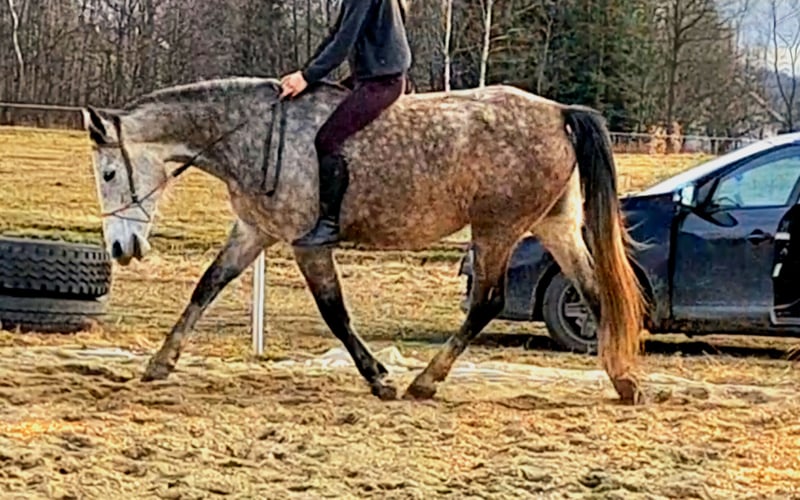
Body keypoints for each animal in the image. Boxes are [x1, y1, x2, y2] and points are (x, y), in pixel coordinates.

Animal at [84, 76, 646, 404]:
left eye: (109, 173)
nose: (120, 250)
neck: (254, 133)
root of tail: (558, 111)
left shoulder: (307, 244)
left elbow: (335, 313)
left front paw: (380, 377)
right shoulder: (254, 231)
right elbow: (207, 286)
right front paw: (161, 362)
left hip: (497, 229)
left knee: (487, 302)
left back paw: (425, 381)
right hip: (554, 225)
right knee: (594, 292)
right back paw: (624, 381)